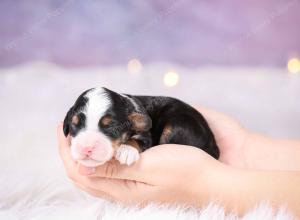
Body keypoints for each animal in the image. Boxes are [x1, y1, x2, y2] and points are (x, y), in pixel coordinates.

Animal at [63, 87, 219, 167]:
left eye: (111, 127)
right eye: (74, 125)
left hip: (177, 125)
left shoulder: (146, 135)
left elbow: (137, 140)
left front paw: (127, 150)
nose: (86, 148)